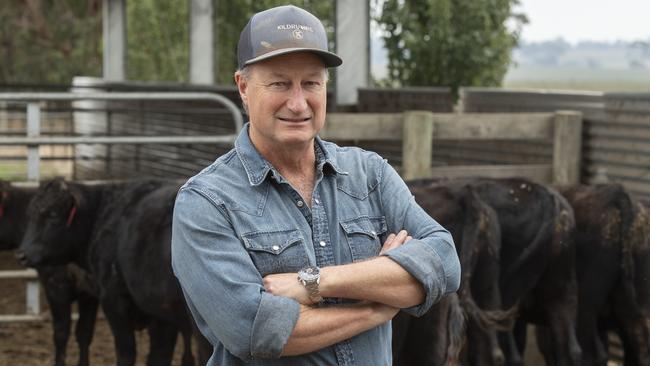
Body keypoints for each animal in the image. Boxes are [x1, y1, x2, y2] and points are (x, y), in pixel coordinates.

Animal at [15, 180, 206, 366]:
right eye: (29, 215)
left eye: (52, 215)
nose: (22, 255)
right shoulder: (160, 314)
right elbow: (159, 356)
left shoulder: (111, 299)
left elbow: (126, 353)